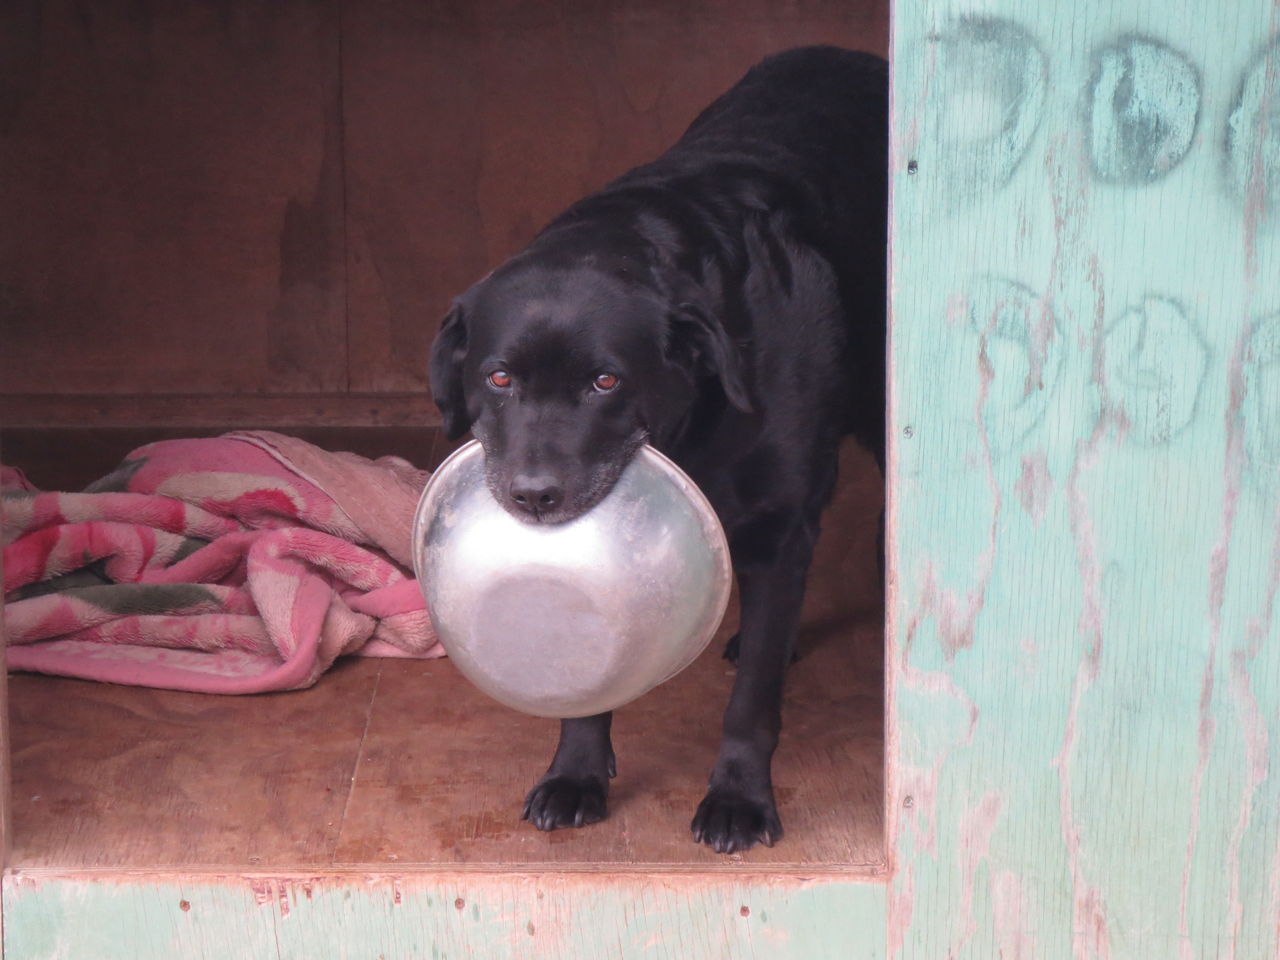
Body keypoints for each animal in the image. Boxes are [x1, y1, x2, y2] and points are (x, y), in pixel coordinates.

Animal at [429, 46, 887, 854]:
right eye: (499, 377)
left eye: (606, 380)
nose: (533, 495)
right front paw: (576, 773)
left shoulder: (779, 525)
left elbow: (751, 703)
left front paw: (739, 798)